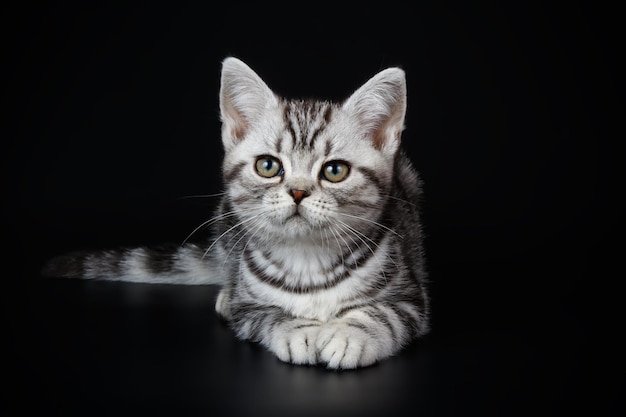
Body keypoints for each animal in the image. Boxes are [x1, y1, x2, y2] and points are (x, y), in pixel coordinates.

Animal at [45, 56, 428, 368]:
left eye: (335, 171)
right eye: (268, 166)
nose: (298, 192)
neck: (307, 261)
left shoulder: (411, 299)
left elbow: (384, 315)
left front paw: (350, 335)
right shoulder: (249, 309)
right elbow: (268, 314)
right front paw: (298, 330)